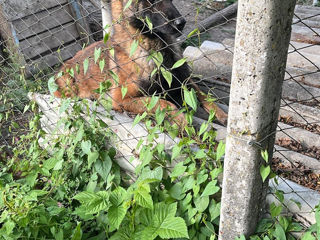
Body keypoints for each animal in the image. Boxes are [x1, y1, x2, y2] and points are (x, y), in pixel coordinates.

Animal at [53, 0, 228, 127]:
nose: (181, 22)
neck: (156, 49)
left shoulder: (183, 80)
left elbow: (204, 95)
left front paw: (222, 115)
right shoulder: (122, 100)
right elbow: (164, 103)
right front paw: (183, 120)